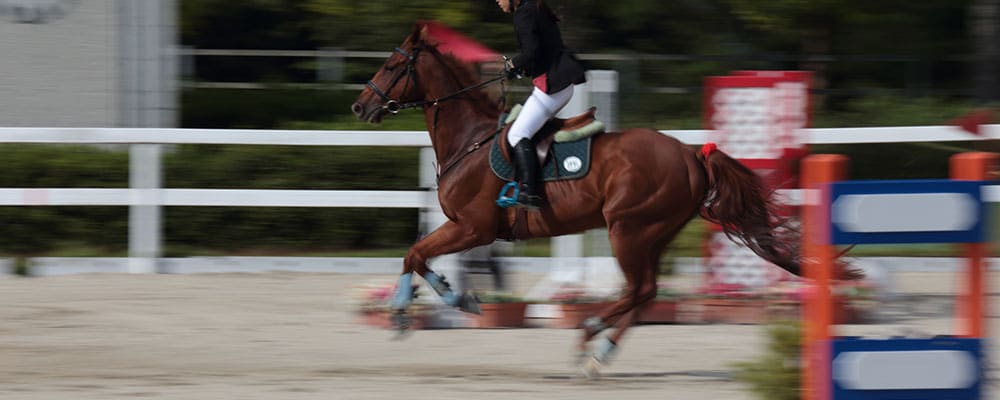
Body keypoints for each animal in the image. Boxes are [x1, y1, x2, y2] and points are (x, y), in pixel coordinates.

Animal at [354, 24, 828, 376]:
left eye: (393, 65)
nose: (360, 107)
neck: (470, 140)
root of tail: (691, 154)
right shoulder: (466, 229)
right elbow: (416, 255)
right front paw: (435, 300)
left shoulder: (473, 227)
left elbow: (416, 254)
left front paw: (422, 308)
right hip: (654, 234)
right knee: (645, 292)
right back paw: (600, 350)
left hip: (629, 229)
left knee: (639, 288)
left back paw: (590, 332)